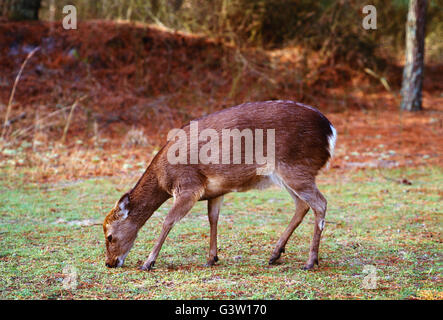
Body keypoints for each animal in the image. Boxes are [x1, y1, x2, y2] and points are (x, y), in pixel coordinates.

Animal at [103, 100, 336, 270]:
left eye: (109, 236)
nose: (110, 263)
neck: (163, 179)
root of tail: (330, 132)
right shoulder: (215, 191)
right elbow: (213, 219)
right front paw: (212, 258)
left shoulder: (188, 186)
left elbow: (168, 221)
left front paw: (148, 262)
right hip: (286, 175)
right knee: (302, 205)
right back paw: (275, 254)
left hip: (295, 166)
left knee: (320, 203)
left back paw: (310, 262)